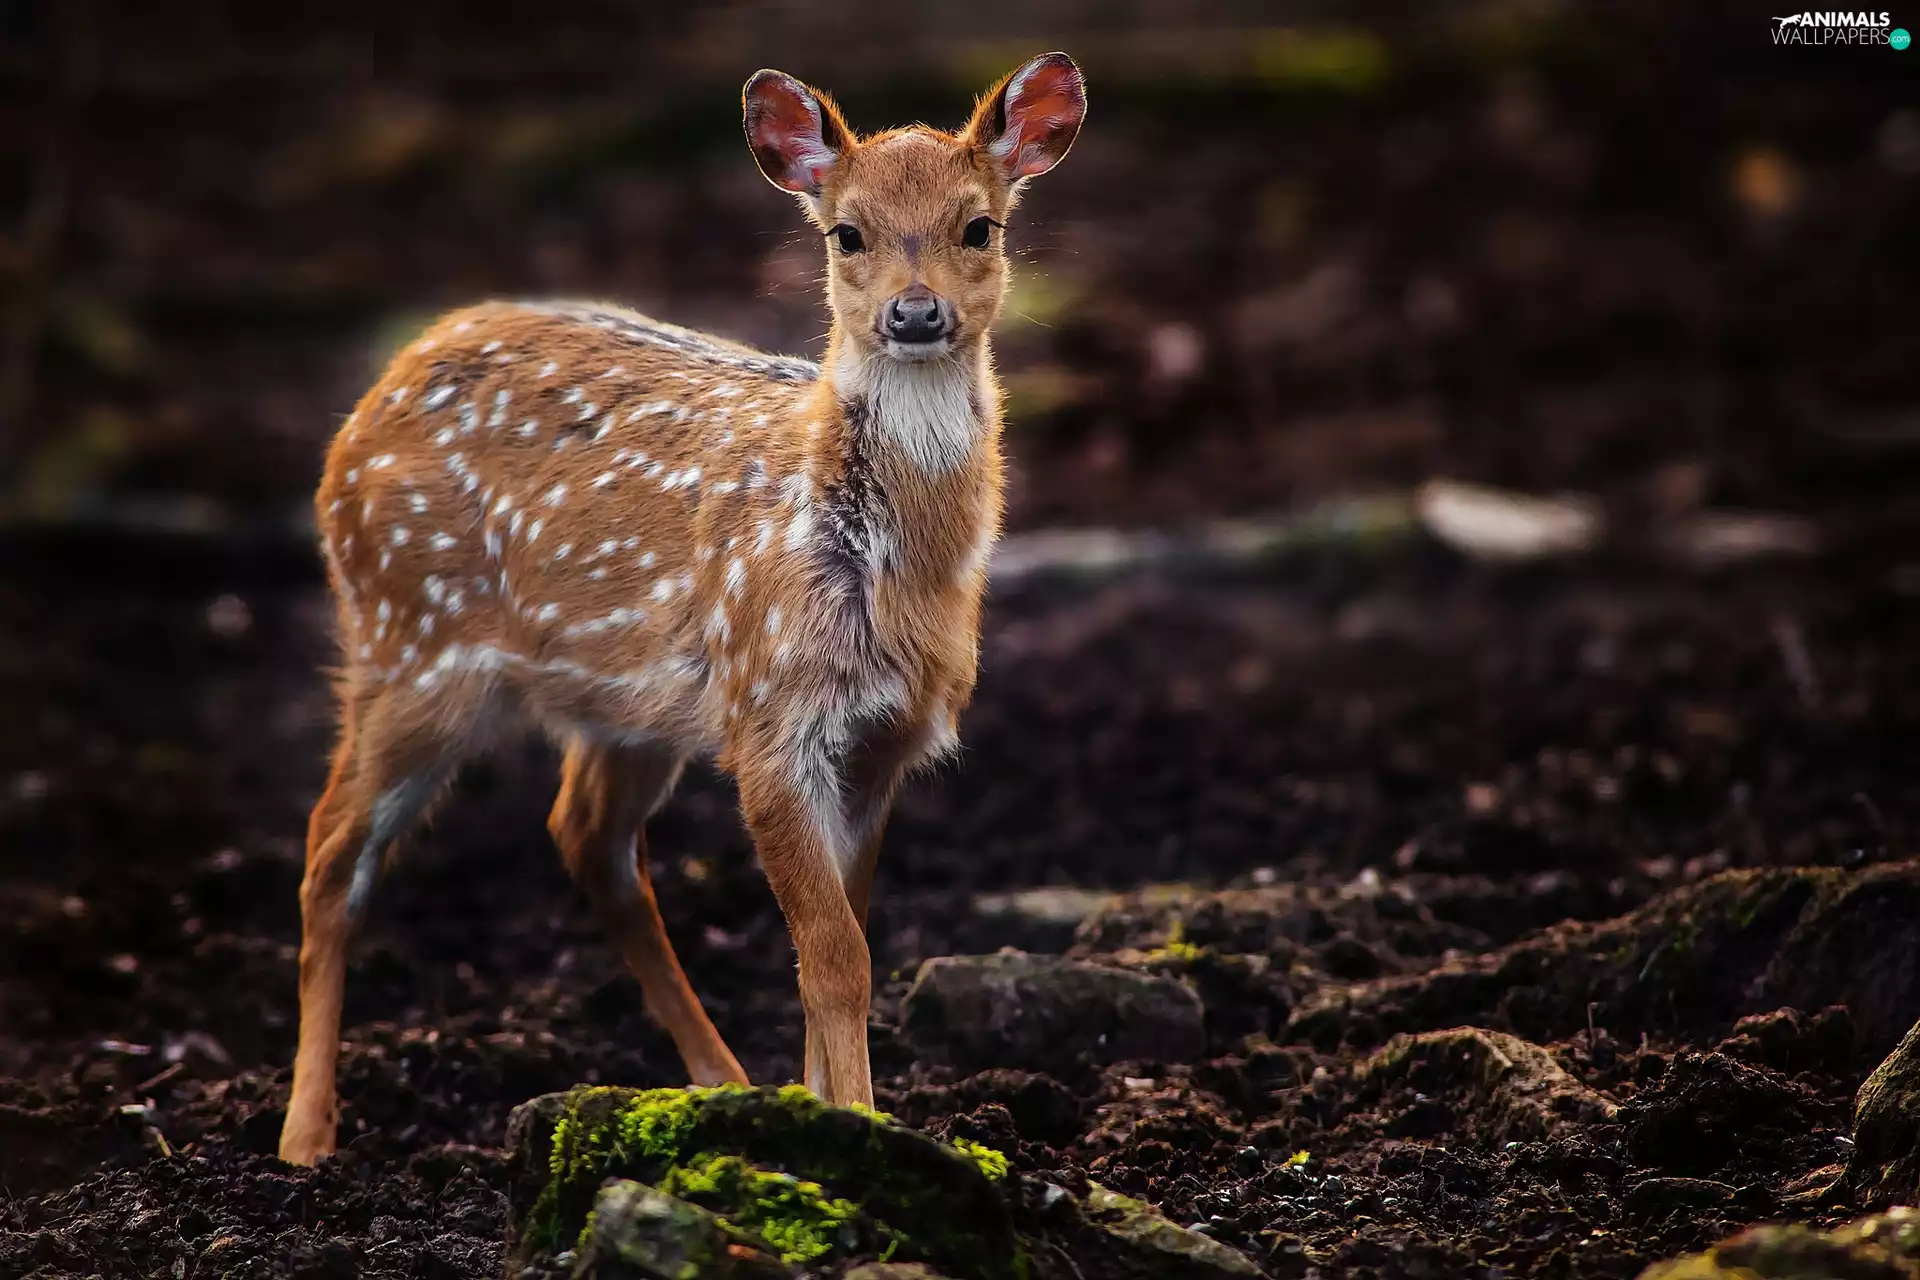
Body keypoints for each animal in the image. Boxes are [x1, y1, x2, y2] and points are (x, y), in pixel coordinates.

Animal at [277, 54, 1088, 1164]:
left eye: (980, 225)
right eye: (846, 232)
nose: (915, 314)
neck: (887, 572)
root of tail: (369, 402)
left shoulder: (880, 741)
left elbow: (842, 939)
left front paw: (819, 1109)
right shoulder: (769, 714)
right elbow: (835, 954)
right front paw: (860, 1127)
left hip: (621, 702)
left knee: (584, 834)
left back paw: (723, 1084)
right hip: (409, 637)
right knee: (328, 857)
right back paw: (304, 1139)